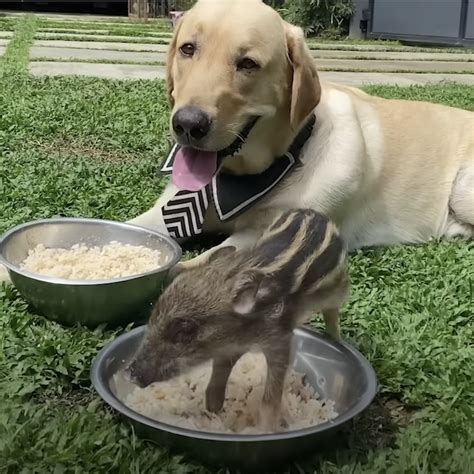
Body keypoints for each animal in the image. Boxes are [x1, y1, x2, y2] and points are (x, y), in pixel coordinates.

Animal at [128, 0, 472, 270]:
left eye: (248, 63)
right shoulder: (165, 209)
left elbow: (190, 267)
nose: (187, 124)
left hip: (462, 188)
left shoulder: (265, 237)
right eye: (188, 49)